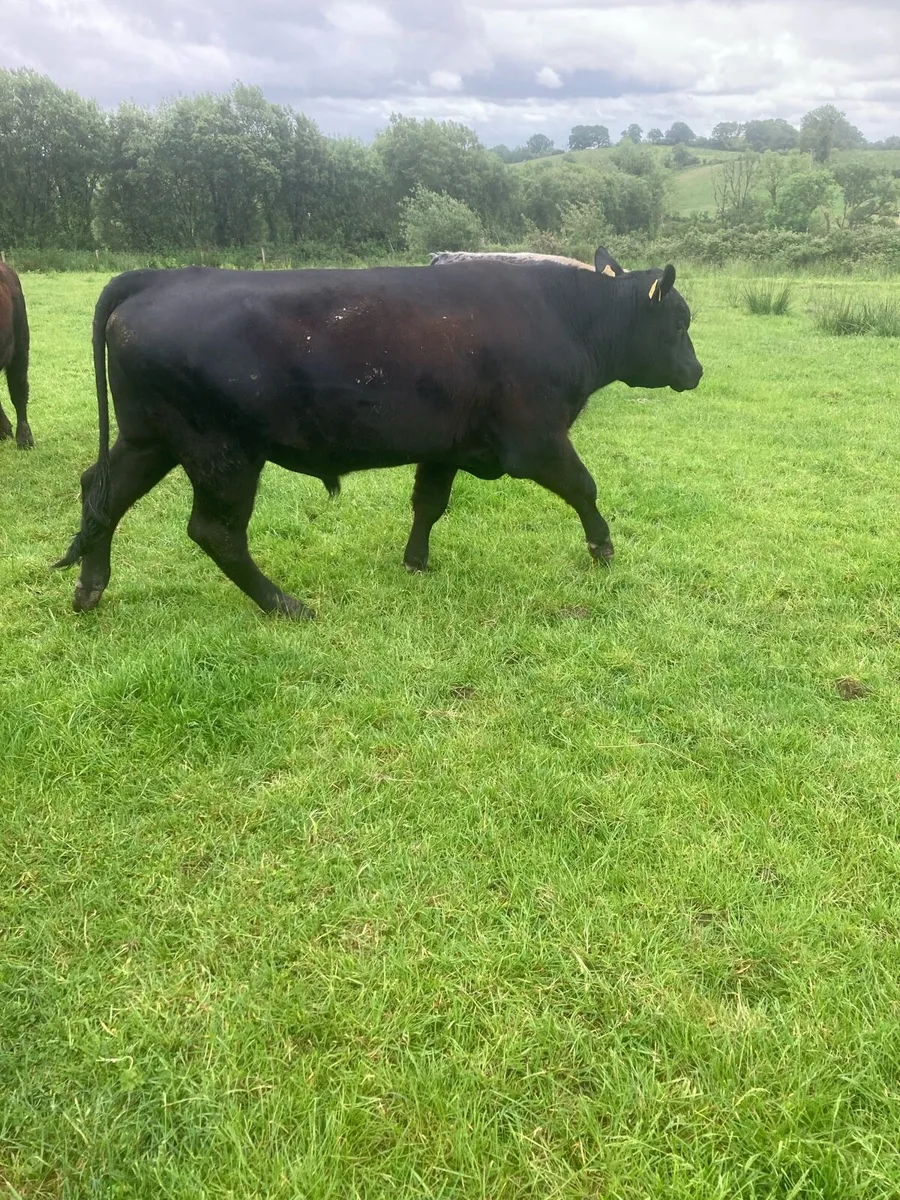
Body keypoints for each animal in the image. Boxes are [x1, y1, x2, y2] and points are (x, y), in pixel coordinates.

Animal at [55, 246, 702, 620]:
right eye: (679, 322)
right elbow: (584, 486)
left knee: (101, 492)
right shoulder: (534, 439)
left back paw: (91, 586)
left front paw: (415, 562)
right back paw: (284, 604)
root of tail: (160, 278)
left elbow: (429, 503)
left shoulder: (447, 444)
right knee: (215, 532)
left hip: (150, 439)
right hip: (222, 452)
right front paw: (603, 548)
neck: (565, 316)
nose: (696, 372)